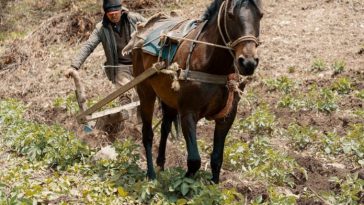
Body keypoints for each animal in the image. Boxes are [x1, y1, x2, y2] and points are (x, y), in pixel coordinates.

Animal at [132, 0, 264, 183]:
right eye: (230, 15)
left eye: (260, 15)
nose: (248, 62)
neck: (213, 65)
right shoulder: (188, 113)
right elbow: (194, 160)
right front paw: (185, 183)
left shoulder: (227, 115)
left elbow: (217, 158)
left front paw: (213, 184)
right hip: (145, 92)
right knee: (147, 134)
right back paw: (151, 174)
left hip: (168, 98)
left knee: (165, 127)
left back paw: (161, 164)